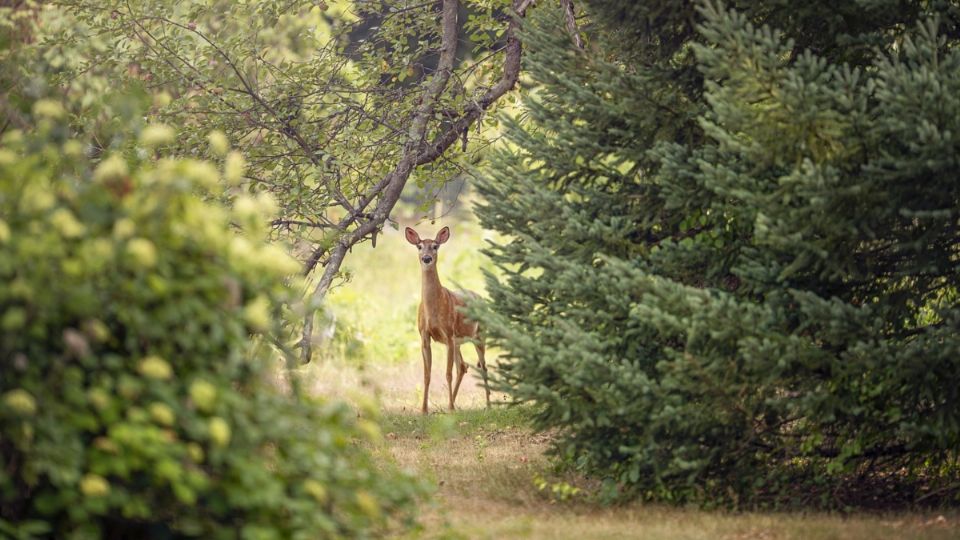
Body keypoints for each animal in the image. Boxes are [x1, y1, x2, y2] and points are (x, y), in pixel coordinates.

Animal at [404, 225, 492, 414]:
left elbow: (447, 373)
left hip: (479, 335)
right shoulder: (424, 336)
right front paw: (424, 410)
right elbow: (427, 374)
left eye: (435, 246)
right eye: (419, 246)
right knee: (463, 366)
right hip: (459, 341)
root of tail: (481, 298)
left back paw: (487, 405)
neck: (433, 309)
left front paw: (450, 408)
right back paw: (451, 404)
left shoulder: (448, 333)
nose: (427, 258)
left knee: (483, 367)